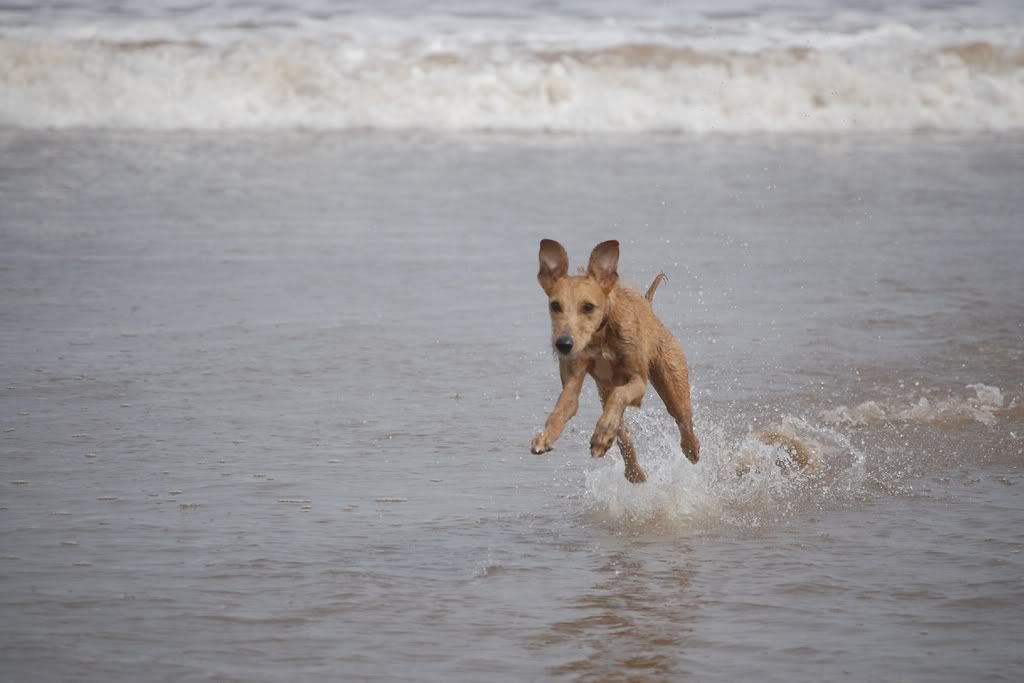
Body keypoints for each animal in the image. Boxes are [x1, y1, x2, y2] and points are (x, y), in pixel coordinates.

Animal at [532, 240, 700, 485]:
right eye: (555, 305)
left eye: (588, 307)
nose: (563, 344)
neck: (600, 339)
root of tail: (649, 307)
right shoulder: (573, 382)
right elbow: (561, 410)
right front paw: (545, 438)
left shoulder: (638, 382)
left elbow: (621, 395)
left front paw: (602, 434)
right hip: (604, 392)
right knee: (622, 433)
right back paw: (632, 470)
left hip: (673, 384)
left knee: (683, 421)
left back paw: (691, 450)